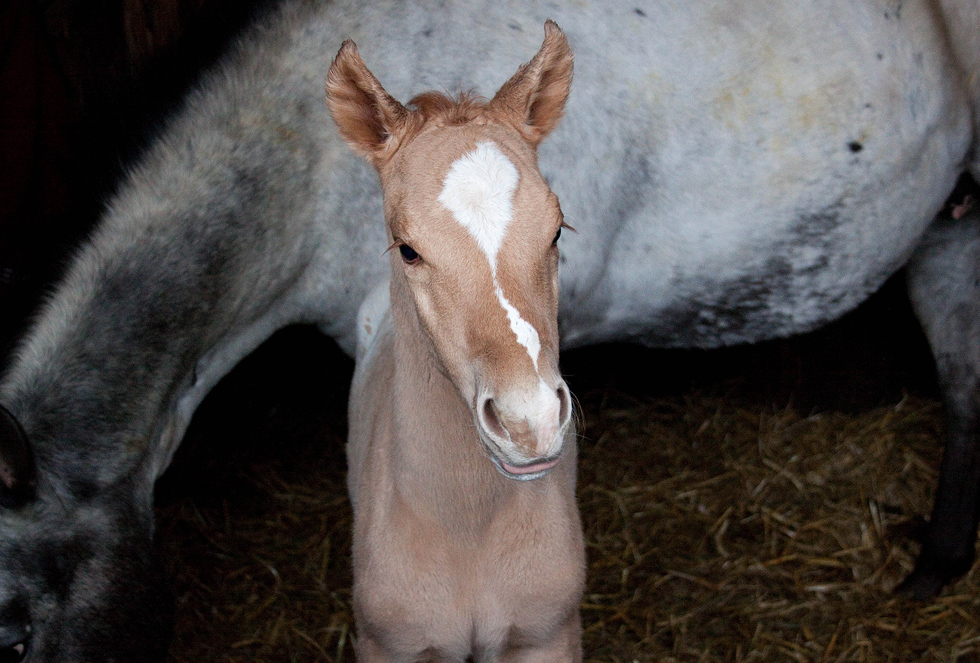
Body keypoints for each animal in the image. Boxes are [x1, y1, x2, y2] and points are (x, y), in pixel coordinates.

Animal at [326, 20, 584, 663]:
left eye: (556, 231)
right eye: (408, 249)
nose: (528, 424)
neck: (466, 534)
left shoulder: (545, 635)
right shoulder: (393, 645)